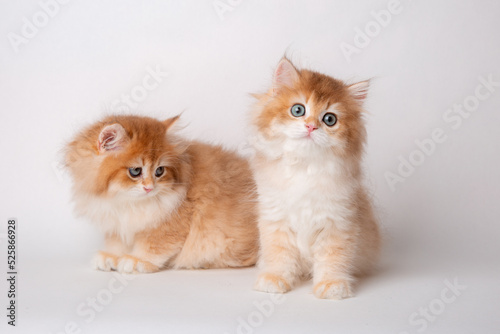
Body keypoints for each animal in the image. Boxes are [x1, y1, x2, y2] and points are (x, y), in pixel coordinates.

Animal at [65, 115, 258, 274]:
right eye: (135, 171)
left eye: (159, 171)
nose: (150, 188)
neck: (126, 201)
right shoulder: (117, 221)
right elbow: (117, 242)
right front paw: (111, 256)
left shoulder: (172, 223)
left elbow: (154, 245)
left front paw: (136, 260)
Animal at [252, 58, 380, 300]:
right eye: (298, 110)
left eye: (329, 119)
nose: (311, 126)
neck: (305, 167)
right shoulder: (276, 219)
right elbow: (279, 254)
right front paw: (274, 279)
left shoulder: (338, 221)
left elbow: (333, 258)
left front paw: (332, 286)